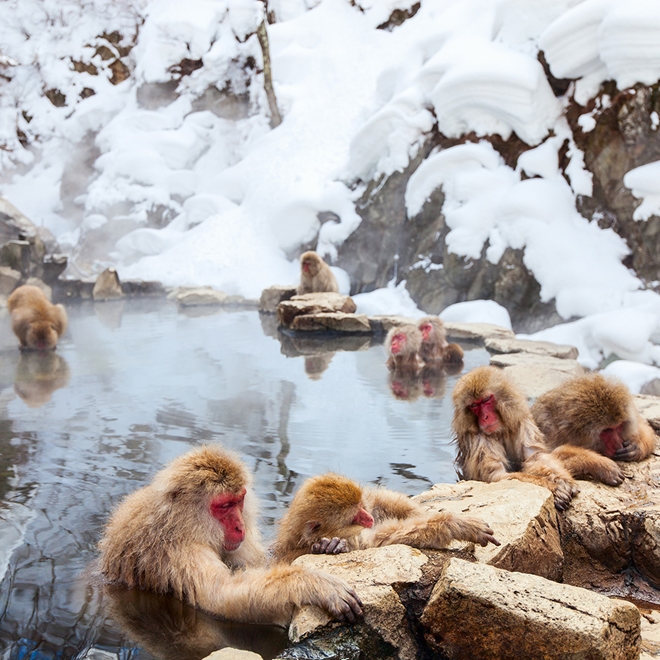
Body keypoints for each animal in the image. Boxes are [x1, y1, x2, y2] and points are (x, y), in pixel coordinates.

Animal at [97, 445, 363, 627]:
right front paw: (313, 583)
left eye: (239, 501)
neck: (180, 524)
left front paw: (327, 546)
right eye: (224, 506)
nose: (239, 526)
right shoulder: (180, 551)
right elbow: (221, 598)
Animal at [270, 473, 499, 564]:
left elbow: (381, 500)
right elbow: (381, 540)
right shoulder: (353, 537)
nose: (368, 518)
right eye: (355, 517)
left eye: (361, 507)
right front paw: (457, 524)